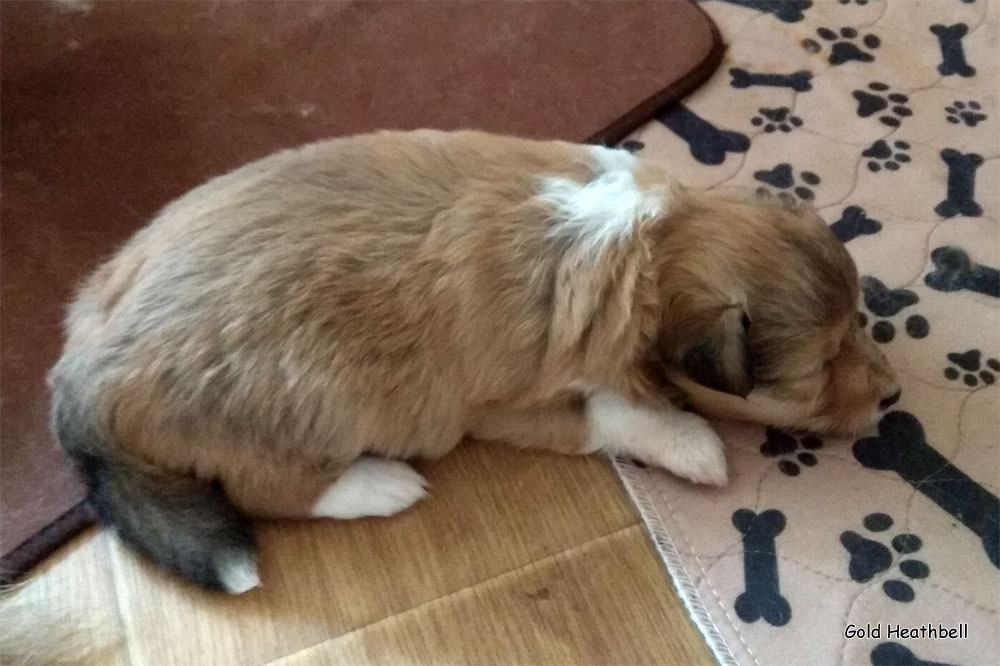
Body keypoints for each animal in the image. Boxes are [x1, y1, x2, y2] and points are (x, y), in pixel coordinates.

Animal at [47, 130, 900, 592]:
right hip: (309, 409)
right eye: (821, 372)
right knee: (273, 489)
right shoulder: (509, 405)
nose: (891, 395)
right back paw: (380, 484)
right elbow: (617, 408)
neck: (654, 245)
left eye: (858, 324)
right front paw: (693, 444)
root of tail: (81, 381)